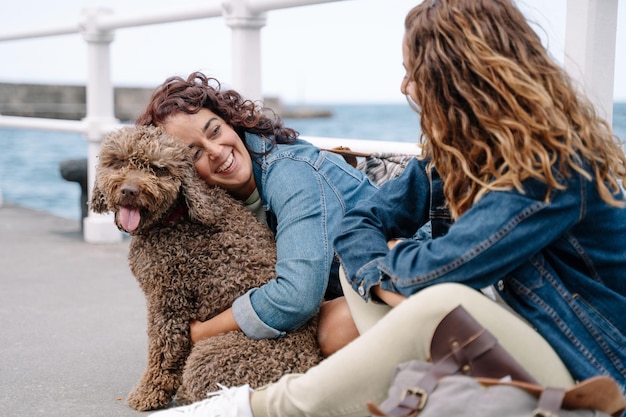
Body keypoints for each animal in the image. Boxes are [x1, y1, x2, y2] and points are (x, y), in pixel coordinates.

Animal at [91, 126, 324, 410]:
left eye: (158, 169)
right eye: (118, 162)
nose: (129, 191)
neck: (176, 216)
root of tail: (311, 363)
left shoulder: (169, 300)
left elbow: (163, 351)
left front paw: (147, 393)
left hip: (211, 354)